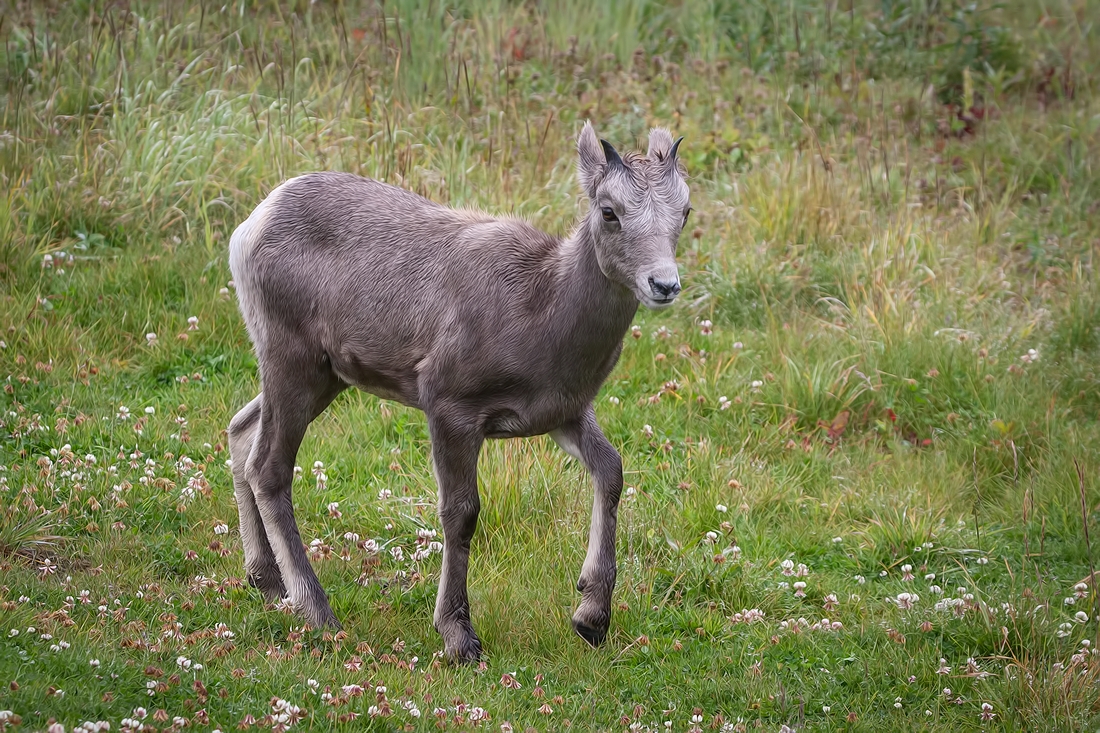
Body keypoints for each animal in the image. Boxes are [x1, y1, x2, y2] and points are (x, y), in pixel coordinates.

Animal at [224, 122, 690, 660]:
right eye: (609, 211)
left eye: (684, 210)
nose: (664, 284)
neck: (542, 310)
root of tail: (251, 226)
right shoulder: (450, 407)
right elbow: (460, 514)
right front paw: (459, 638)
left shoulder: (565, 413)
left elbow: (611, 471)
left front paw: (591, 618)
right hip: (292, 363)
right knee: (269, 468)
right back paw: (319, 613)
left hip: (323, 377)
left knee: (241, 433)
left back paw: (266, 582)